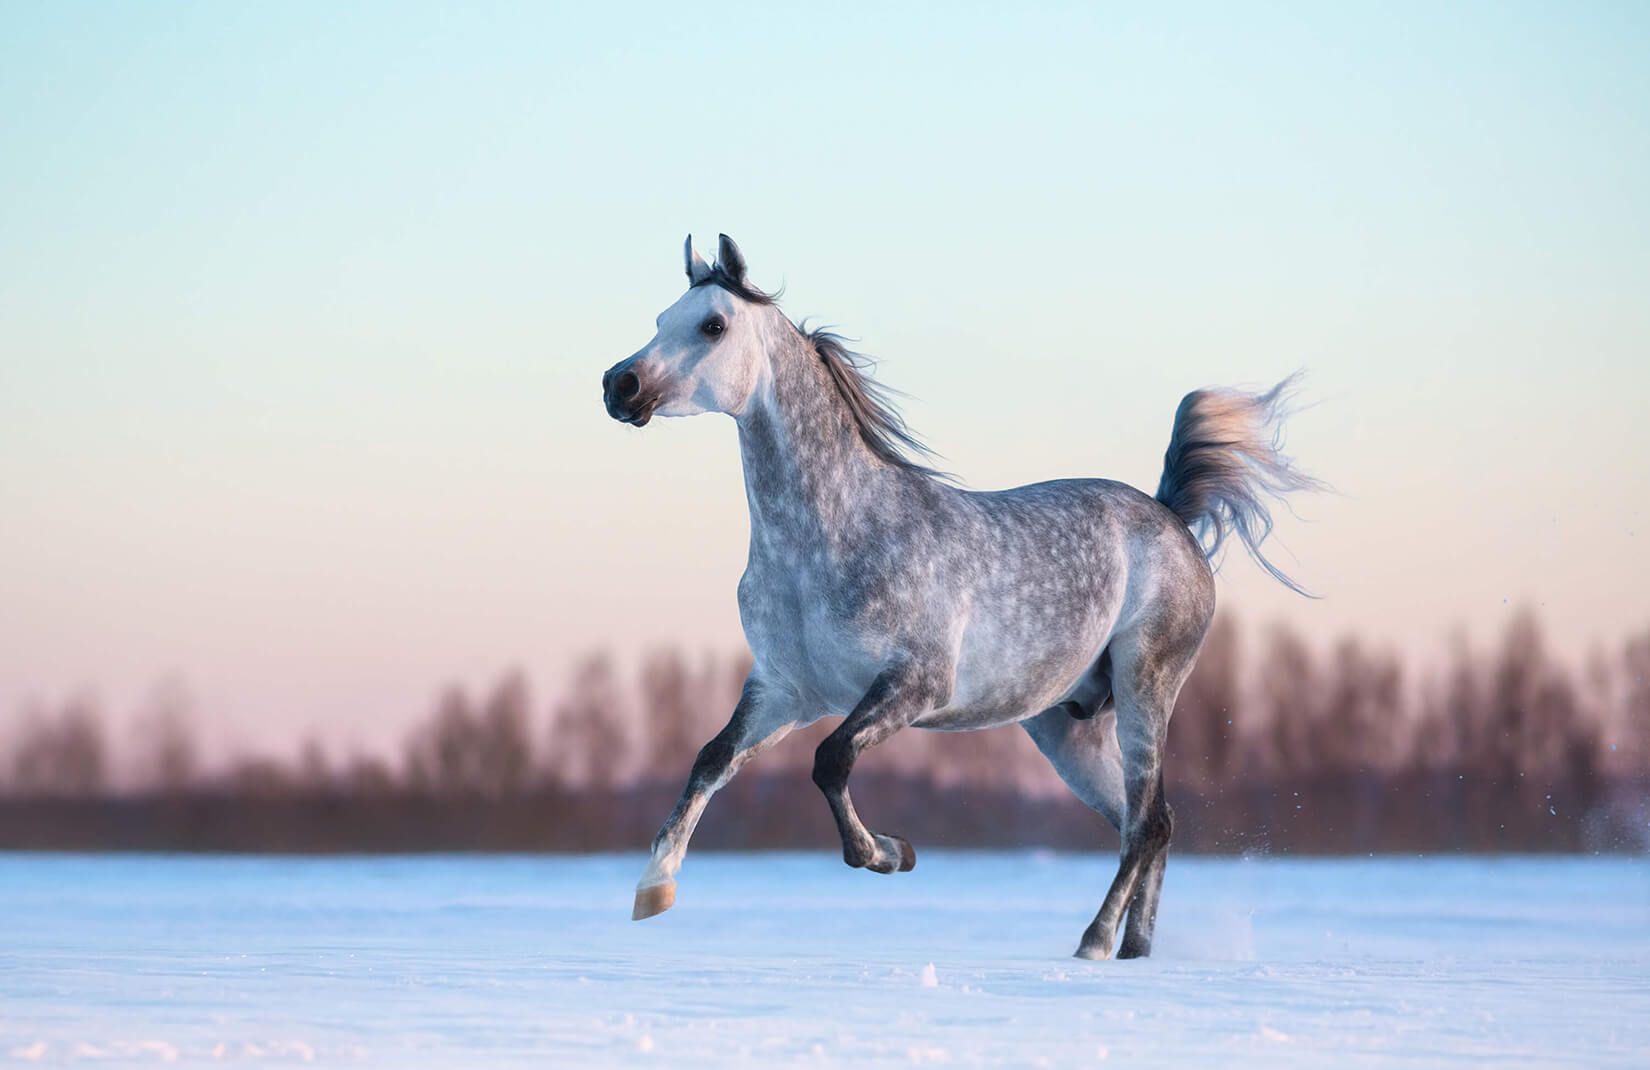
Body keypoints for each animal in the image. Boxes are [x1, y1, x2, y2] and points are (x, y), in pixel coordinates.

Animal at [600, 235, 1320, 959]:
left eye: (713, 325)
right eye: (661, 318)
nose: (618, 385)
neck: (830, 538)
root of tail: (1170, 517)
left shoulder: (916, 684)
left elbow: (830, 762)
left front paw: (893, 852)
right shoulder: (786, 691)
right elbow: (711, 761)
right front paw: (652, 891)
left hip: (1146, 687)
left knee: (1147, 825)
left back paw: (1093, 943)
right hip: (1067, 726)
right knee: (1147, 823)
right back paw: (1133, 952)